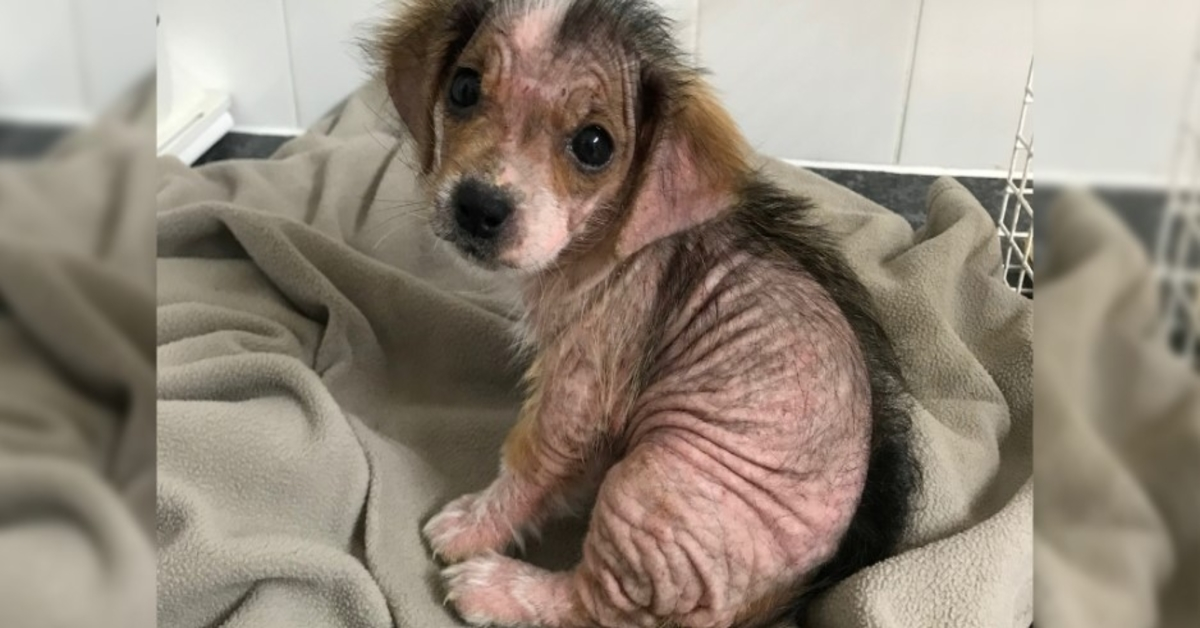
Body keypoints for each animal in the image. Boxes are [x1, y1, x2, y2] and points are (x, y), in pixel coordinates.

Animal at [374, 2, 916, 624]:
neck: (604, 239)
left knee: (599, 606)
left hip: (649, 484)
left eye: (594, 145)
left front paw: (473, 527)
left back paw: (497, 589)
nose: (478, 208)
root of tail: (781, 600)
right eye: (463, 88)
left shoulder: (576, 393)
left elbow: (528, 468)